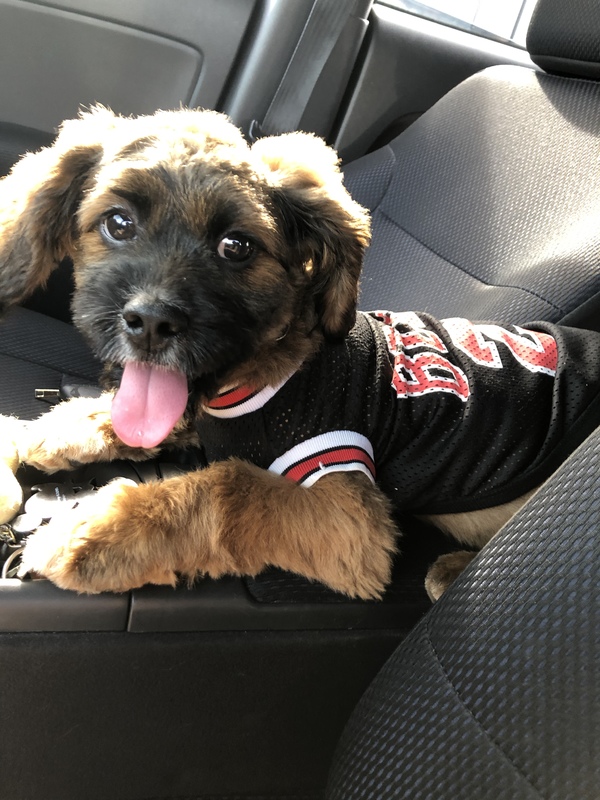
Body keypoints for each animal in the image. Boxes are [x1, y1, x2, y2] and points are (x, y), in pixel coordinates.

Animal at [0, 107, 599, 601]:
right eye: (118, 222)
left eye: (236, 246)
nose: (150, 324)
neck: (269, 372)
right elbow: (113, 415)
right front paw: (35, 435)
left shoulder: (346, 507)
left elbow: (228, 488)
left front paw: (91, 533)